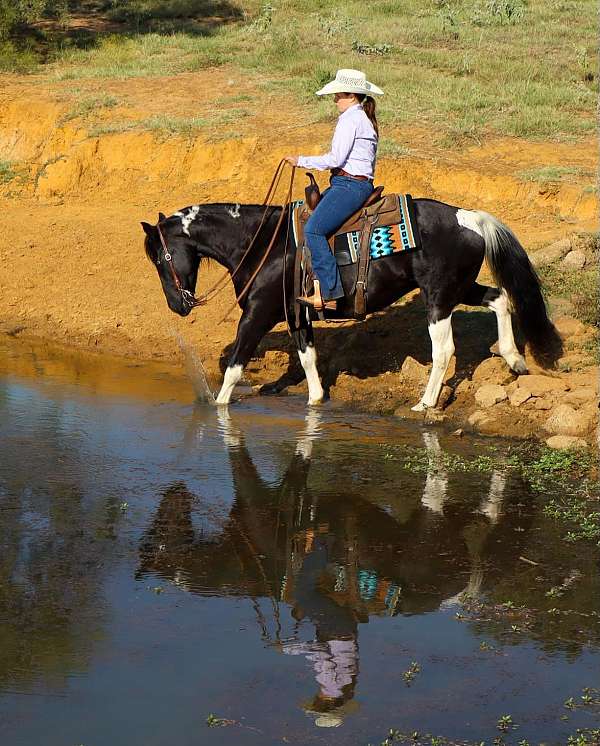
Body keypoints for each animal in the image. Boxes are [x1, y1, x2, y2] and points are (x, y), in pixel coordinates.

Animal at [142, 196, 564, 406]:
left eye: (162, 258)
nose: (178, 306)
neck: (261, 243)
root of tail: (469, 218)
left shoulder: (257, 314)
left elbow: (235, 365)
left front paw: (217, 406)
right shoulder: (297, 315)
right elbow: (308, 359)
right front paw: (315, 401)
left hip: (439, 297)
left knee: (444, 349)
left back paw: (426, 404)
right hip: (460, 288)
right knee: (500, 298)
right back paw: (514, 359)